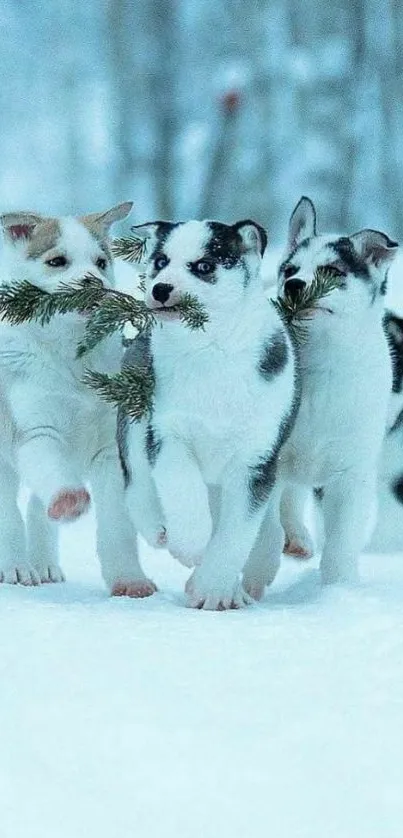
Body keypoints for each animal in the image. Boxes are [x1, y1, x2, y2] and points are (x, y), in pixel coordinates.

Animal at [0, 203, 156, 596]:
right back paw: (17, 567)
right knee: (9, 511)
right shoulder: (38, 432)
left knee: (37, 508)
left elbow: (118, 525)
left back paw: (44, 563)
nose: (92, 282)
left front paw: (130, 580)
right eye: (58, 261)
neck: (70, 355)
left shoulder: (108, 449)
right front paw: (69, 500)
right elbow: (53, 477)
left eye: (101, 262)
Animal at [121, 217, 302, 612]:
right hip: (134, 414)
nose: (160, 289)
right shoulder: (167, 434)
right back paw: (158, 526)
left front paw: (213, 589)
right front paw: (191, 544)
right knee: (136, 481)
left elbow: (236, 532)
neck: (209, 349)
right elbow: (181, 487)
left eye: (204, 266)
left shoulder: (255, 460)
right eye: (160, 261)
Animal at [245, 195, 400, 592]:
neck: (319, 367)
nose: (294, 284)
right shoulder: (269, 459)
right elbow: (264, 528)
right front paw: (255, 578)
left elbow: (342, 542)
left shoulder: (351, 475)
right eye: (290, 269)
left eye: (332, 270)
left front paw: (338, 589)